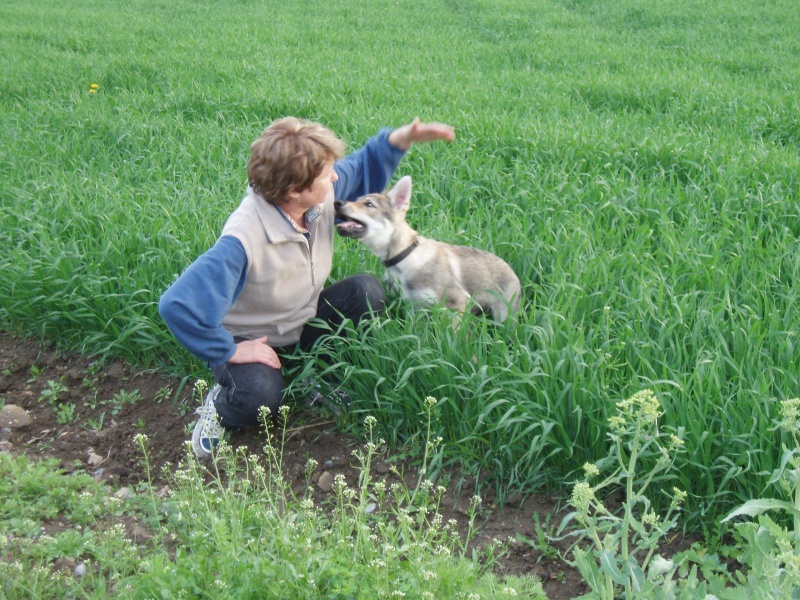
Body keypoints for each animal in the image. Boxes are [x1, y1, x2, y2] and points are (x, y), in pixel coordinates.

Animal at [334, 175, 520, 324]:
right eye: (356, 199)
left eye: (369, 204)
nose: (337, 202)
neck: (405, 256)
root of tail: (513, 272)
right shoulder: (417, 307)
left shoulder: (459, 302)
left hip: (504, 316)